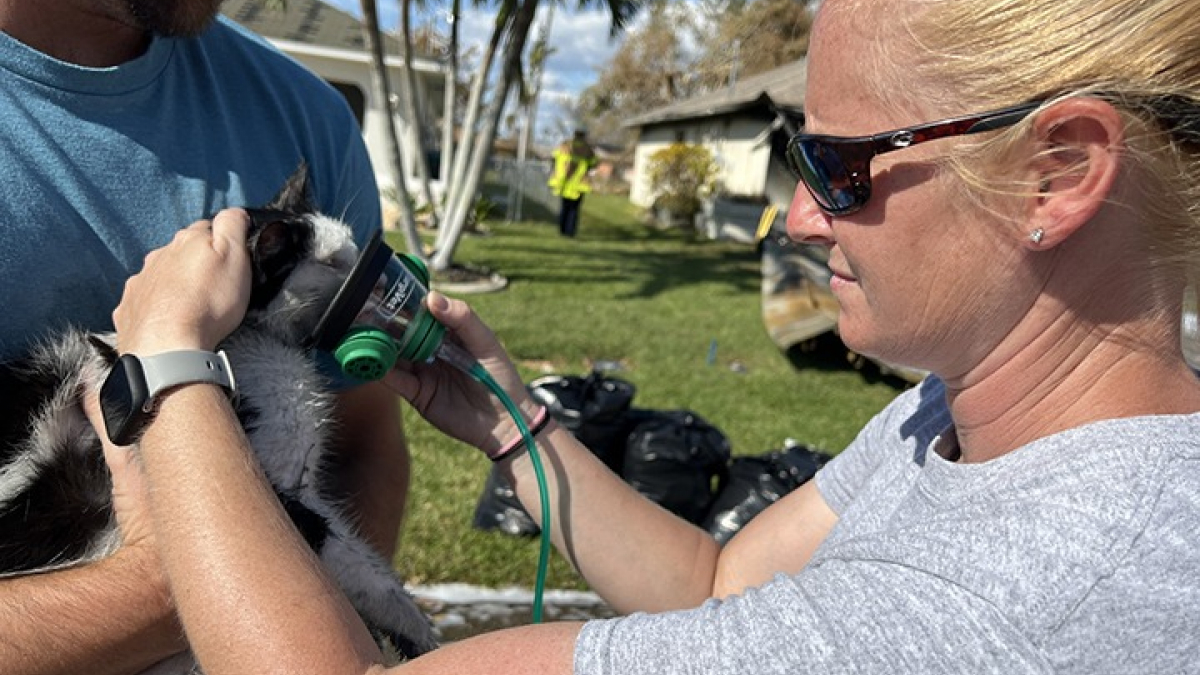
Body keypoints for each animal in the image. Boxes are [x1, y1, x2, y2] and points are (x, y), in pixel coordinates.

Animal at [0, 166, 441, 667]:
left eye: (349, 243)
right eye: (331, 262)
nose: (366, 262)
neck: (258, 341)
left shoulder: (303, 485)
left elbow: (361, 554)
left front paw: (413, 628)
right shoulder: (281, 493)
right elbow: (347, 559)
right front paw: (409, 625)